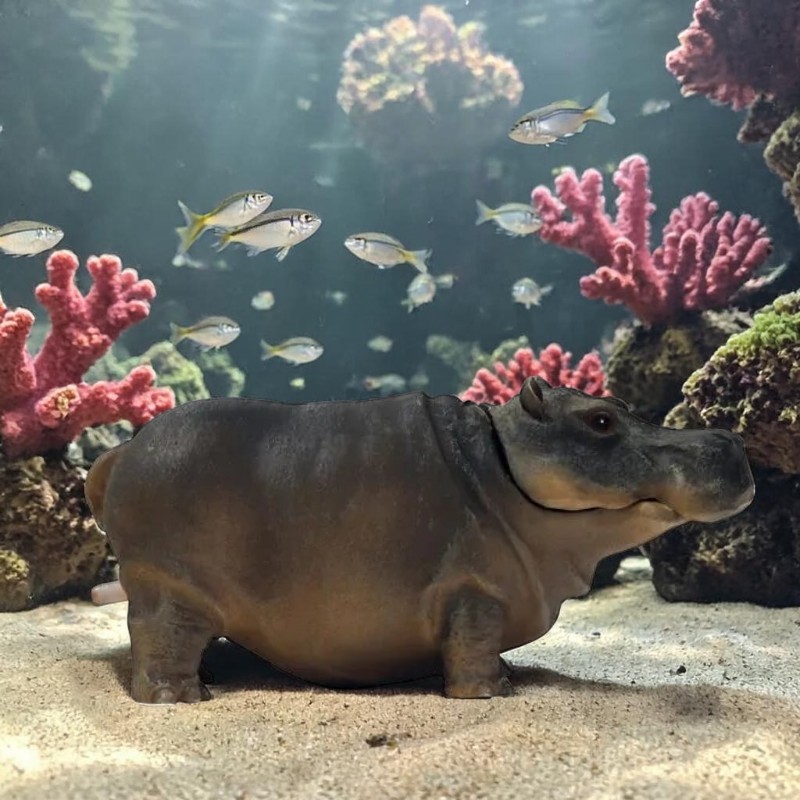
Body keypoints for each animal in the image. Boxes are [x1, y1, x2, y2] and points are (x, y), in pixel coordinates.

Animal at [84, 378, 754, 703]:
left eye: (614, 401)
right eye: (600, 421)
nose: (726, 440)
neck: (499, 462)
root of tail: (121, 452)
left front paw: (508, 675)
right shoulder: (474, 589)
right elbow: (473, 647)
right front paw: (492, 692)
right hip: (167, 587)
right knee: (158, 641)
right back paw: (184, 697)